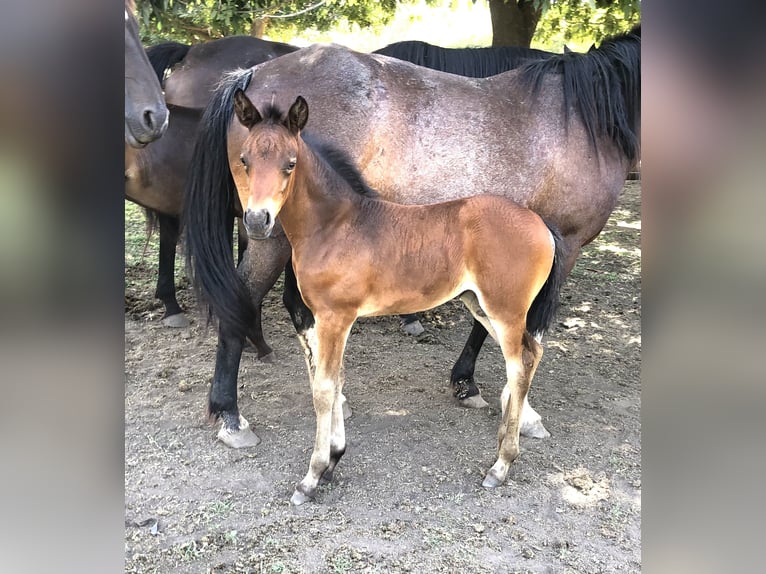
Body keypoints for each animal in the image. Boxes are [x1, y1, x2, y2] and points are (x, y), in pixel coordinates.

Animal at [183, 25, 640, 450]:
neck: (582, 117)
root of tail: (253, 74)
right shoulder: (564, 246)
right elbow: (528, 329)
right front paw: (523, 412)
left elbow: (491, 322)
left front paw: (466, 383)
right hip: (270, 235)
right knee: (242, 298)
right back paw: (230, 416)